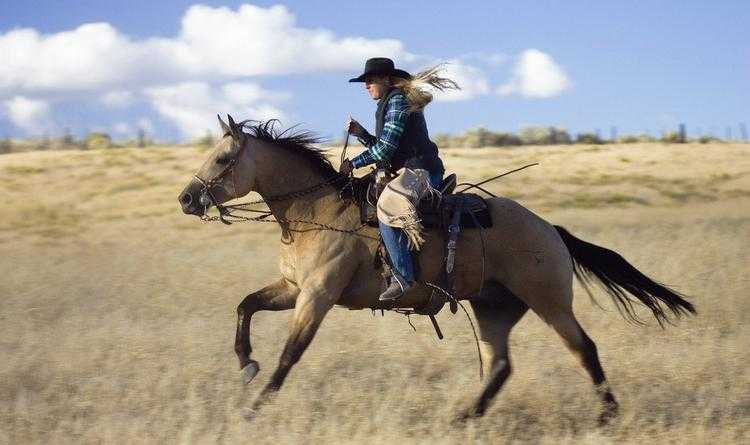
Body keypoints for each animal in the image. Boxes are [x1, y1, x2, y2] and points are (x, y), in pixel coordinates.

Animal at [179, 114, 696, 424]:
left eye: (223, 157)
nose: (187, 198)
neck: (316, 209)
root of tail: (550, 228)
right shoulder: (291, 288)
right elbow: (245, 306)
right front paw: (246, 364)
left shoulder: (317, 297)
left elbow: (290, 354)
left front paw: (254, 408)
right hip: (493, 308)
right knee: (500, 365)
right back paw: (466, 417)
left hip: (549, 301)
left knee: (583, 349)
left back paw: (607, 416)